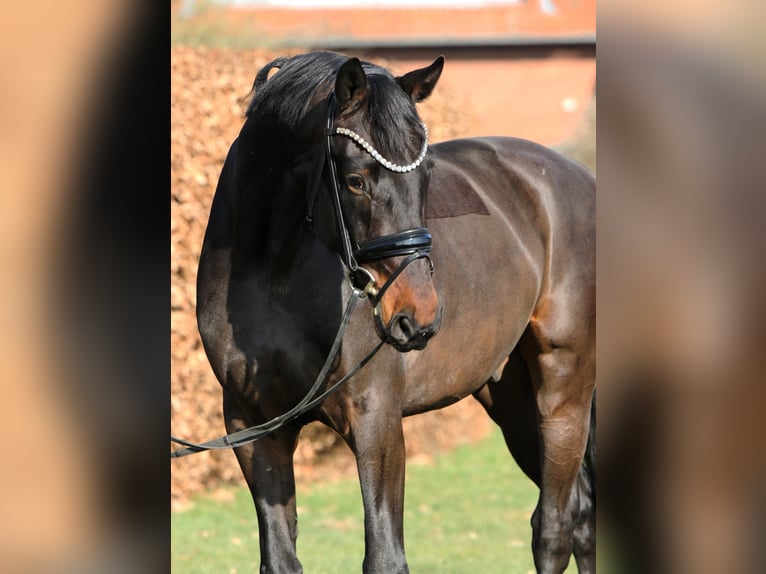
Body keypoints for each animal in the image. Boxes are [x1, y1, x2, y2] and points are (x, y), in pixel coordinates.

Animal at [190, 51, 592, 572]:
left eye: (426, 177)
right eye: (355, 180)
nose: (417, 316)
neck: (272, 273)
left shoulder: (376, 420)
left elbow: (384, 556)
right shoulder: (255, 427)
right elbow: (280, 557)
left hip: (563, 395)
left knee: (555, 528)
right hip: (514, 399)